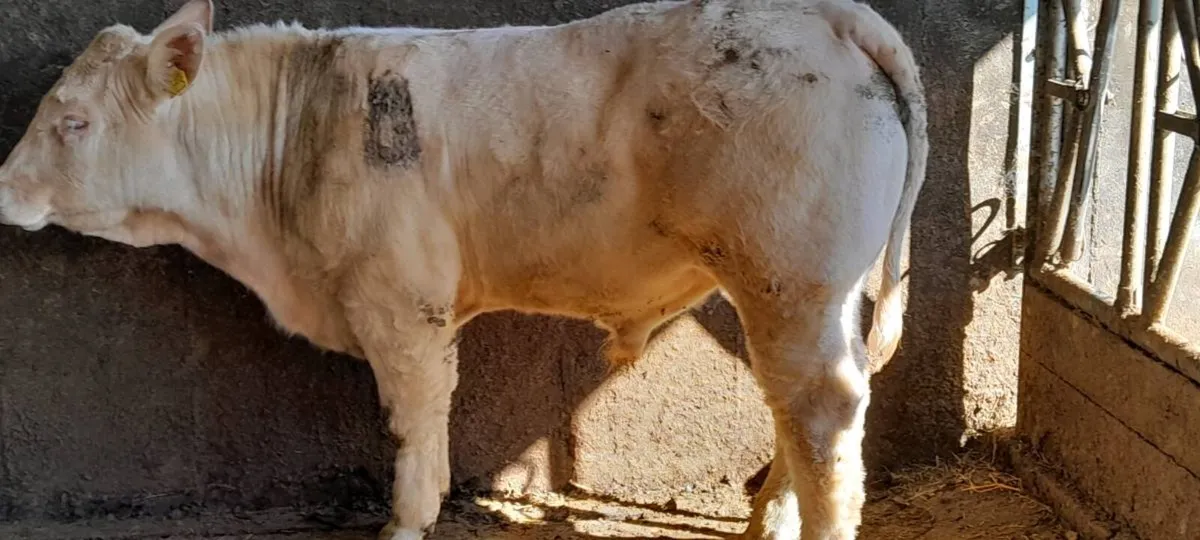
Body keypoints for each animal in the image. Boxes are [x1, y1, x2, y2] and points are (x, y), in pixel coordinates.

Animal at [0, 0, 926, 538]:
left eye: (73, 122)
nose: (3, 185)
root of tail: (828, 14)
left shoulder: (399, 302)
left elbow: (415, 434)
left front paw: (403, 527)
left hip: (789, 277)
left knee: (821, 413)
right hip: (809, 291)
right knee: (798, 405)